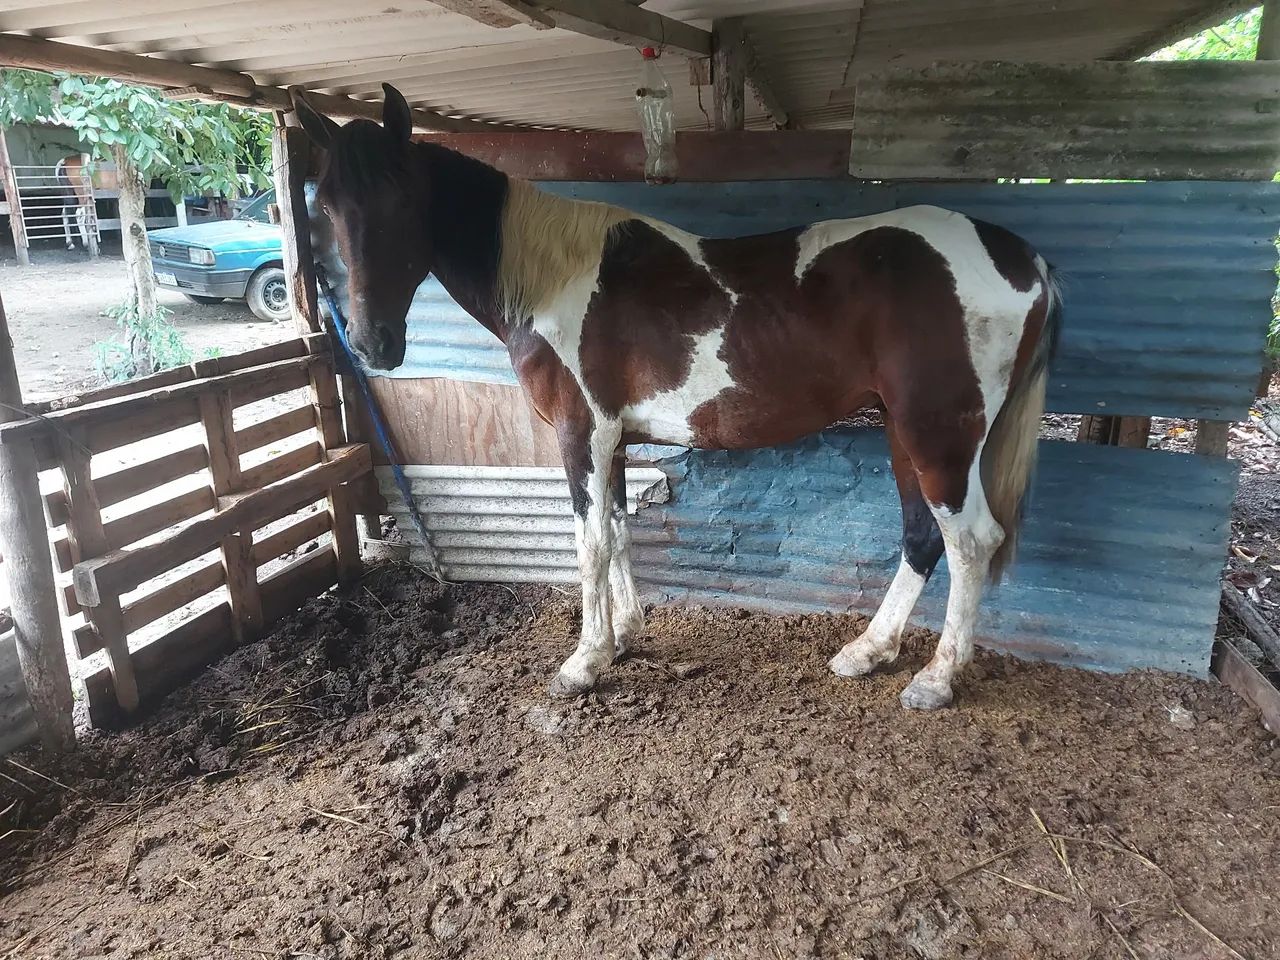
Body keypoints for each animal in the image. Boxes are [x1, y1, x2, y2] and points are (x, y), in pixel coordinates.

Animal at [293, 84, 1061, 711]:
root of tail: (1024, 259)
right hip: (904, 432)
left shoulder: (581, 433)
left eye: (402, 198)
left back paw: (936, 679)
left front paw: (584, 662)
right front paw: (625, 635)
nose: (374, 345)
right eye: (326, 205)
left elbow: (591, 541)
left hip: (938, 435)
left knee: (971, 541)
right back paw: (868, 652)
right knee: (922, 537)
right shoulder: (613, 440)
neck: (551, 279)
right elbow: (620, 529)